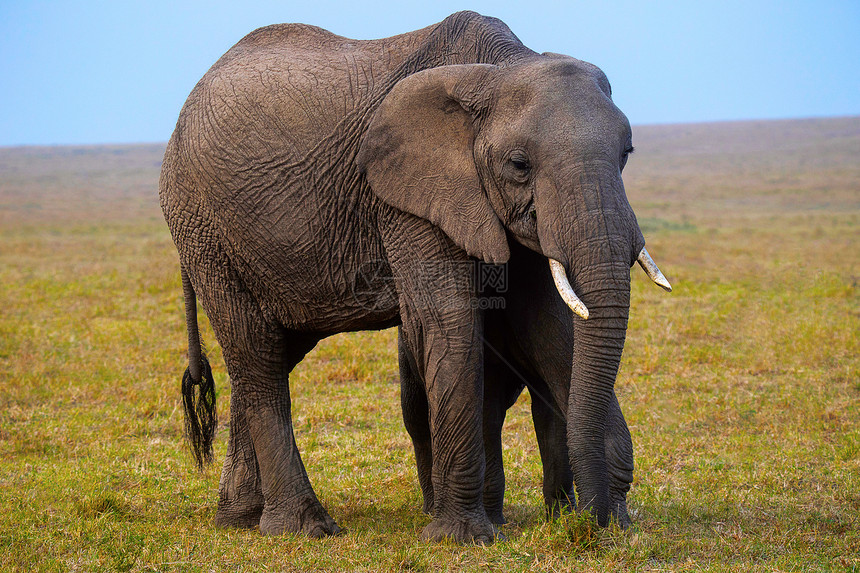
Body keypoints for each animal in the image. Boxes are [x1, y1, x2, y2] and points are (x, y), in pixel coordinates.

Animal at [161, 11, 672, 544]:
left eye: (627, 153)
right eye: (519, 164)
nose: (591, 522)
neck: (502, 68)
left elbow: (550, 328)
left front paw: (613, 519)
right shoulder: (406, 196)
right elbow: (449, 325)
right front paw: (461, 538)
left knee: (273, 355)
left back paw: (239, 518)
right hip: (205, 229)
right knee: (255, 354)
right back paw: (304, 527)